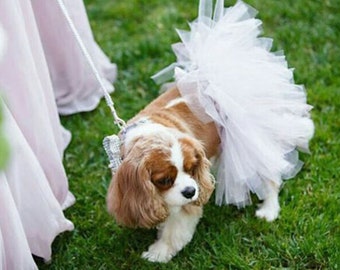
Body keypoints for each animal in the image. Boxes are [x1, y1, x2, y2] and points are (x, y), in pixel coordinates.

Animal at [105, 86, 280, 262]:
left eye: (191, 169)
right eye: (165, 180)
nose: (190, 191)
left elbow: (174, 230)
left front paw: (159, 252)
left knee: (270, 177)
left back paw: (268, 210)